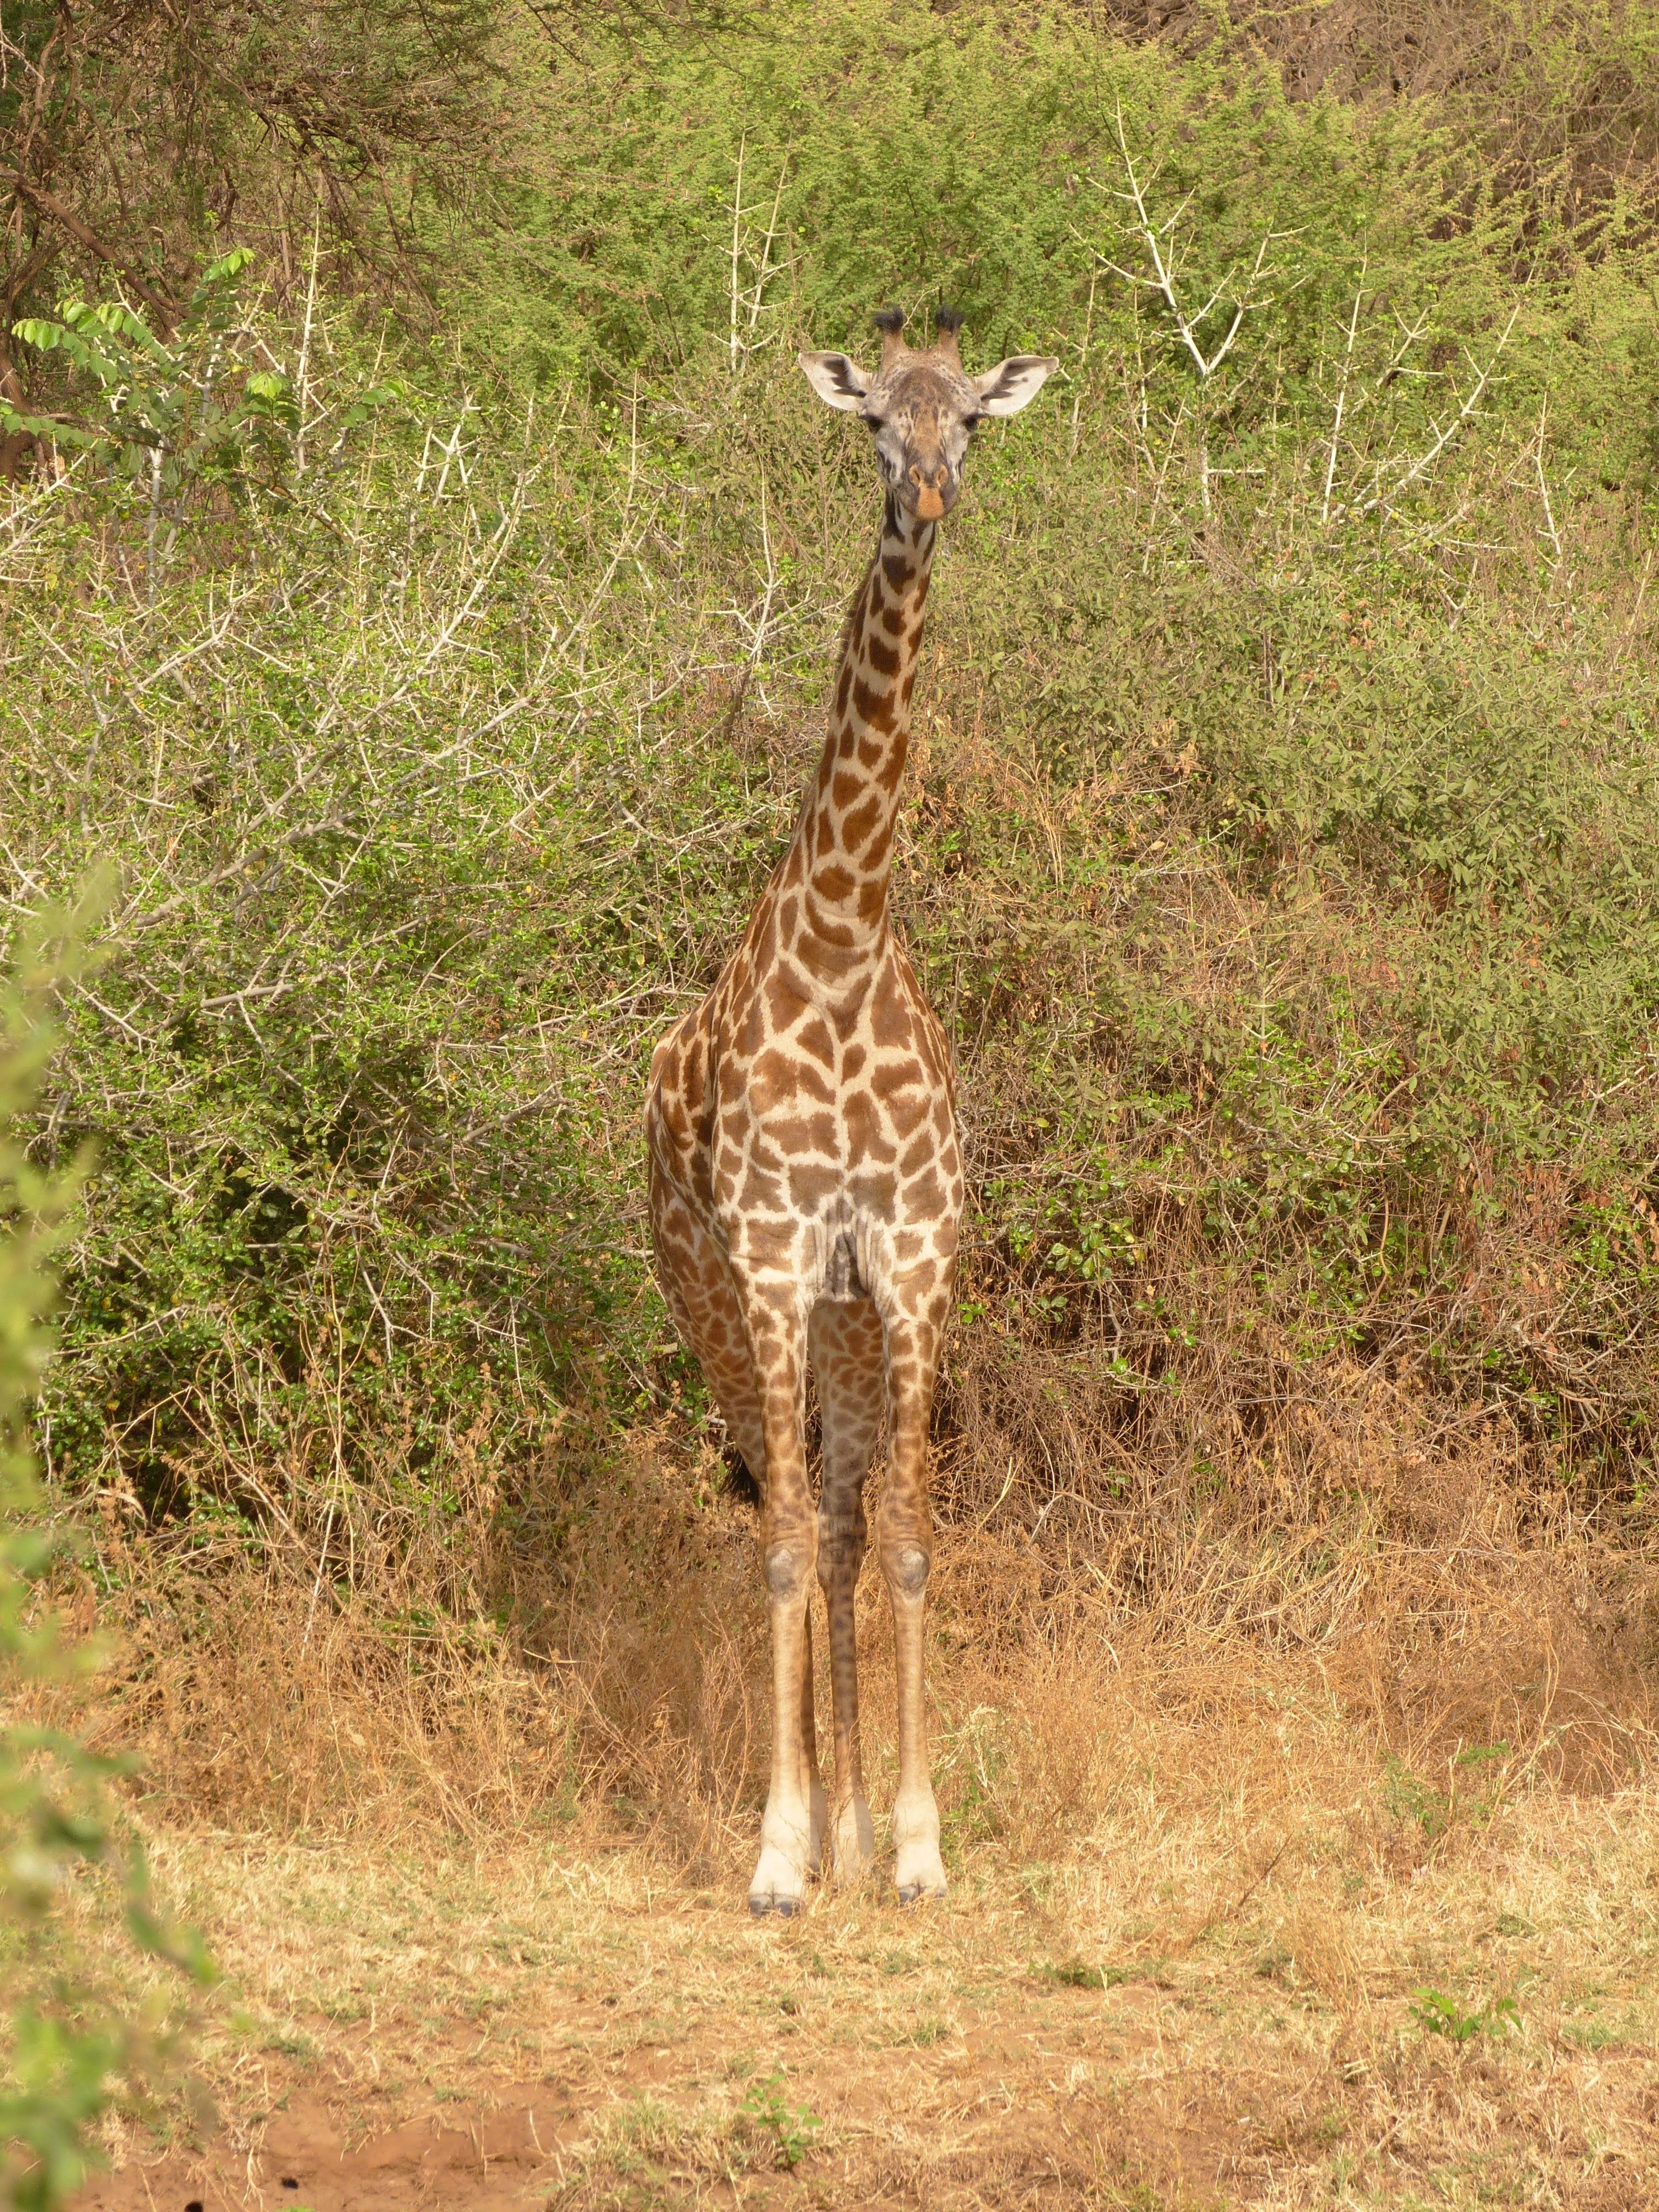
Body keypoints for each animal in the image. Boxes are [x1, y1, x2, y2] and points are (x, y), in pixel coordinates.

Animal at [646, 305, 1056, 1915]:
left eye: (974, 421)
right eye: (876, 420)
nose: (927, 498)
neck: (839, 936)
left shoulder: (910, 1256)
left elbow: (910, 1542)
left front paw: (917, 1840)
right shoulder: (768, 1255)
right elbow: (770, 1549)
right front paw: (774, 1853)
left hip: (839, 1321)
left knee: (832, 1518)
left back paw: (852, 1827)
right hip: (712, 1302)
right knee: (782, 1515)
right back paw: (809, 1831)